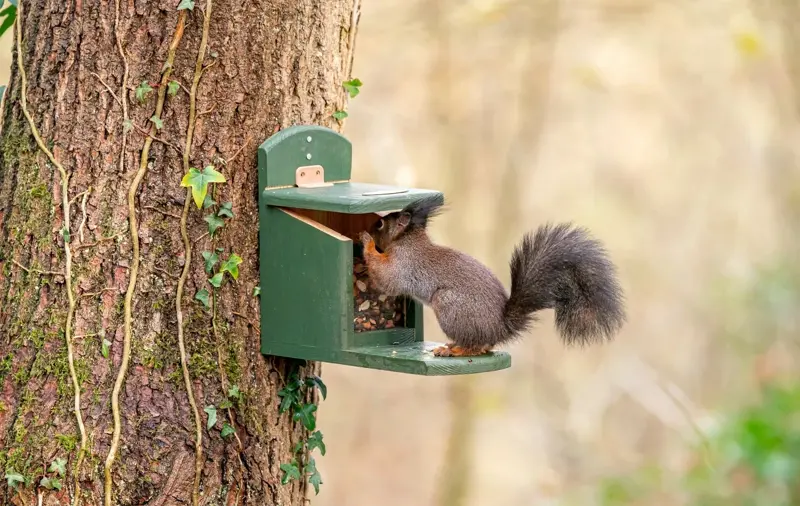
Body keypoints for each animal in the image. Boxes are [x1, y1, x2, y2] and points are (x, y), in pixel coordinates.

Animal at [360, 196, 628, 358]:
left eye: (381, 224)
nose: (371, 226)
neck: (407, 240)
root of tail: (500, 328)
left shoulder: (404, 265)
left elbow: (387, 279)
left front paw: (366, 242)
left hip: (448, 305)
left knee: (476, 346)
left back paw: (456, 350)